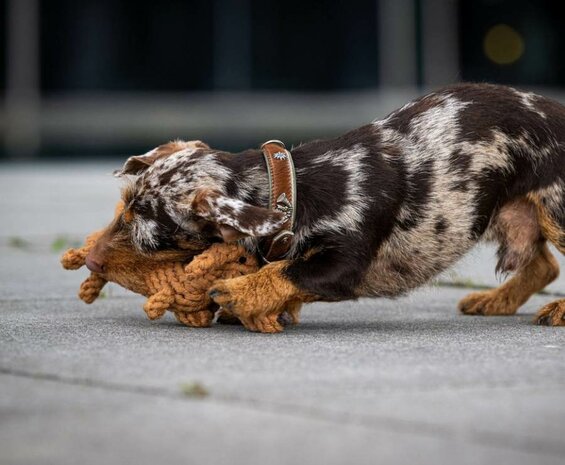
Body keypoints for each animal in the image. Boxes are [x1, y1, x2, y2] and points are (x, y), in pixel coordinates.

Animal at [86, 82, 564, 330]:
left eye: (148, 240)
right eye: (121, 210)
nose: (88, 260)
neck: (291, 187)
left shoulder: (345, 264)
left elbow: (288, 270)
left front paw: (241, 292)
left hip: (555, 208)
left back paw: (555, 311)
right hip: (496, 210)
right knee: (544, 265)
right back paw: (496, 300)